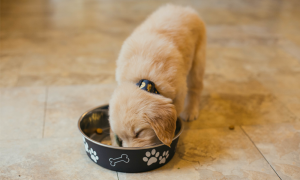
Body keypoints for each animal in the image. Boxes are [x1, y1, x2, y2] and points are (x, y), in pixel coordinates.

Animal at [109, 4, 205, 148]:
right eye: (120, 138)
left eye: (138, 133)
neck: (143, 78)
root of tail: (183, 8)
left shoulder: (179, 92)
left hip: (197, 60)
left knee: (195, 88)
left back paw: (190, 111)